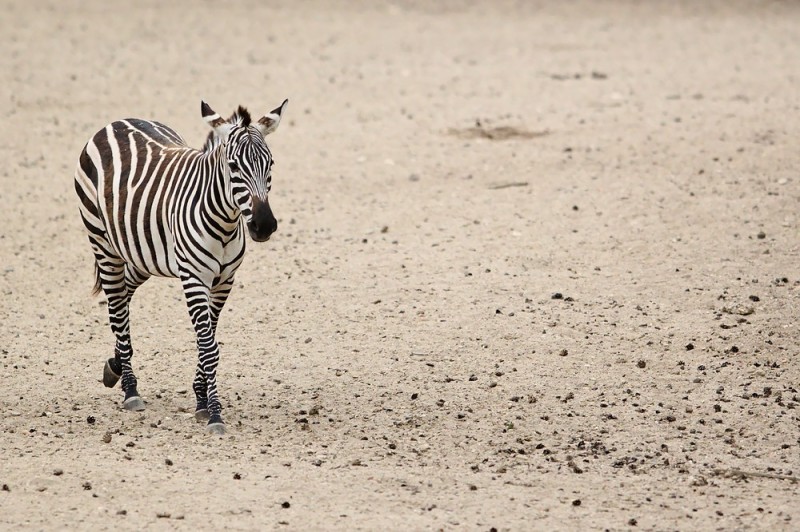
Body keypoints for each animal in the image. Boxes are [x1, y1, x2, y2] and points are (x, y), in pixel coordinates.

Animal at [74, 99, 288, 434]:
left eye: (271, 165)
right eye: (233, 167)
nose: (264, 225)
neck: (226, 222)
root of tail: (118, 121)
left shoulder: (224, 281)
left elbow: (206, 342)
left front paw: (201, 400)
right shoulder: (194, 278)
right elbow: (209, 347)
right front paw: (215, 414)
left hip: (143, 253)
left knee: (123, 294)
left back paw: (115, 366)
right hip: (102, 242)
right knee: (118, 307)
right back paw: (130, 389)